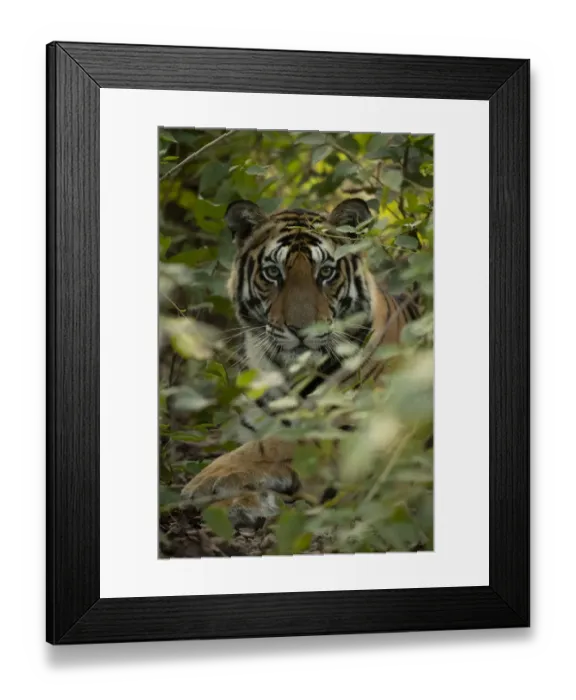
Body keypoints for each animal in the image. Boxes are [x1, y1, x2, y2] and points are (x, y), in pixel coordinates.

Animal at [180, 197, 423, 529]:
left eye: (327, 272)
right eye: (272, 272)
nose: (300, 328)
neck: (285, 374)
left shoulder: (358, 431)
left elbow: (278, 443)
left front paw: (208, 480)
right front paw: (241, 502)